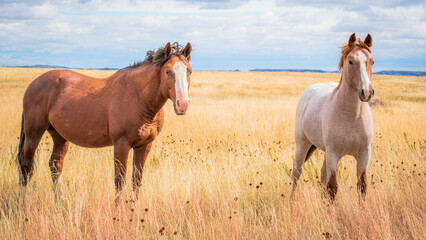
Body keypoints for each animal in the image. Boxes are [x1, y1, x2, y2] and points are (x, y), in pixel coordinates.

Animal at [17, 42, 193, 200]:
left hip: (60, 136)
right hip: (34, 132)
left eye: (189, 71)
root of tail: (34, 84)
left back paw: (60, 201)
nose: (182, 104)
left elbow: (136, 180)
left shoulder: (144, 145)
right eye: (168, 71)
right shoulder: (121, 144)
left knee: (55, 165)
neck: (138, 97)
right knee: (25, 165)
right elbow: (119, 181)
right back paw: (22, 203)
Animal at [292, 32, 372, 201]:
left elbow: (362, 187)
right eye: (350, 61)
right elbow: (332, 188)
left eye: (372, 61)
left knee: (322, 175)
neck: (352, 117)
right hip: (303, 144)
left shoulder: (364, 154)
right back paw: (292, 200)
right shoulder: (333, 154)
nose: (367, 92)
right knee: (296, 171)